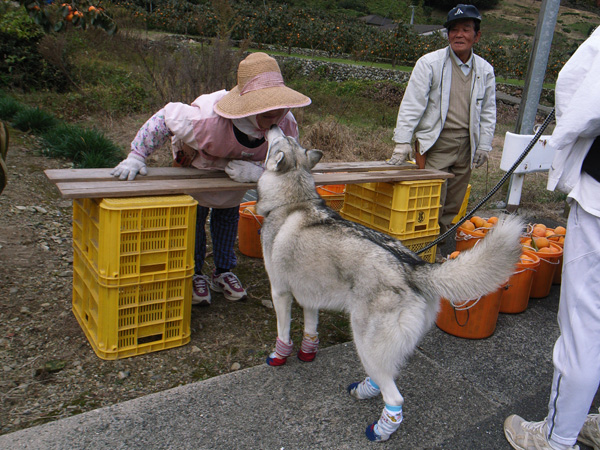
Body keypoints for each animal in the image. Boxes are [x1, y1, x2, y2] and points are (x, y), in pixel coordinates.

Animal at [255, 126, 524, 442]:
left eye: (280, 139)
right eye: (289, 139)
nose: (272, 126)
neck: (293, 200)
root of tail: (413, 267)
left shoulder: (280, 293)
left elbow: (283, 333)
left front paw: (279, 356)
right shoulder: (310, 297)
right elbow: (311, 330)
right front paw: (307, 353)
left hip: (364, 340)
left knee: (395, 396)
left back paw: (382, 429)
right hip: (376, 346)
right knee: (387, 376)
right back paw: (365, 390)